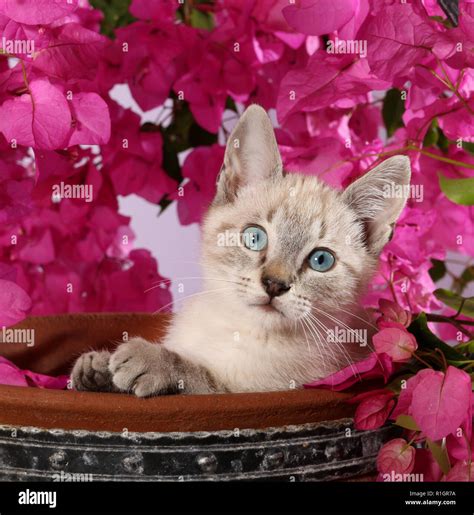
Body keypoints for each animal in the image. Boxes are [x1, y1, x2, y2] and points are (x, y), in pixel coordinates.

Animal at [71, 104, 412, 396]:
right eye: (254, 238)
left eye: (321, 260)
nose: (274, 284)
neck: (236, 327)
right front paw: (98, 366)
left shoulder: (265, 391)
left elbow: (202, 378)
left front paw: (150, 359)